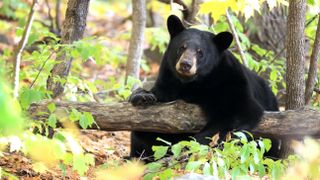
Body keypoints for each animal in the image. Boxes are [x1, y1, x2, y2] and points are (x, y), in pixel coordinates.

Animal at [129, 14, 278, 160]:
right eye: (182, 47)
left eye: (200, 52)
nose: (185, 64)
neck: (193, 84)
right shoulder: (168, 82)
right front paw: (142, 96)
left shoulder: (230, 82)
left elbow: (238, 112)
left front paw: (191, 145)